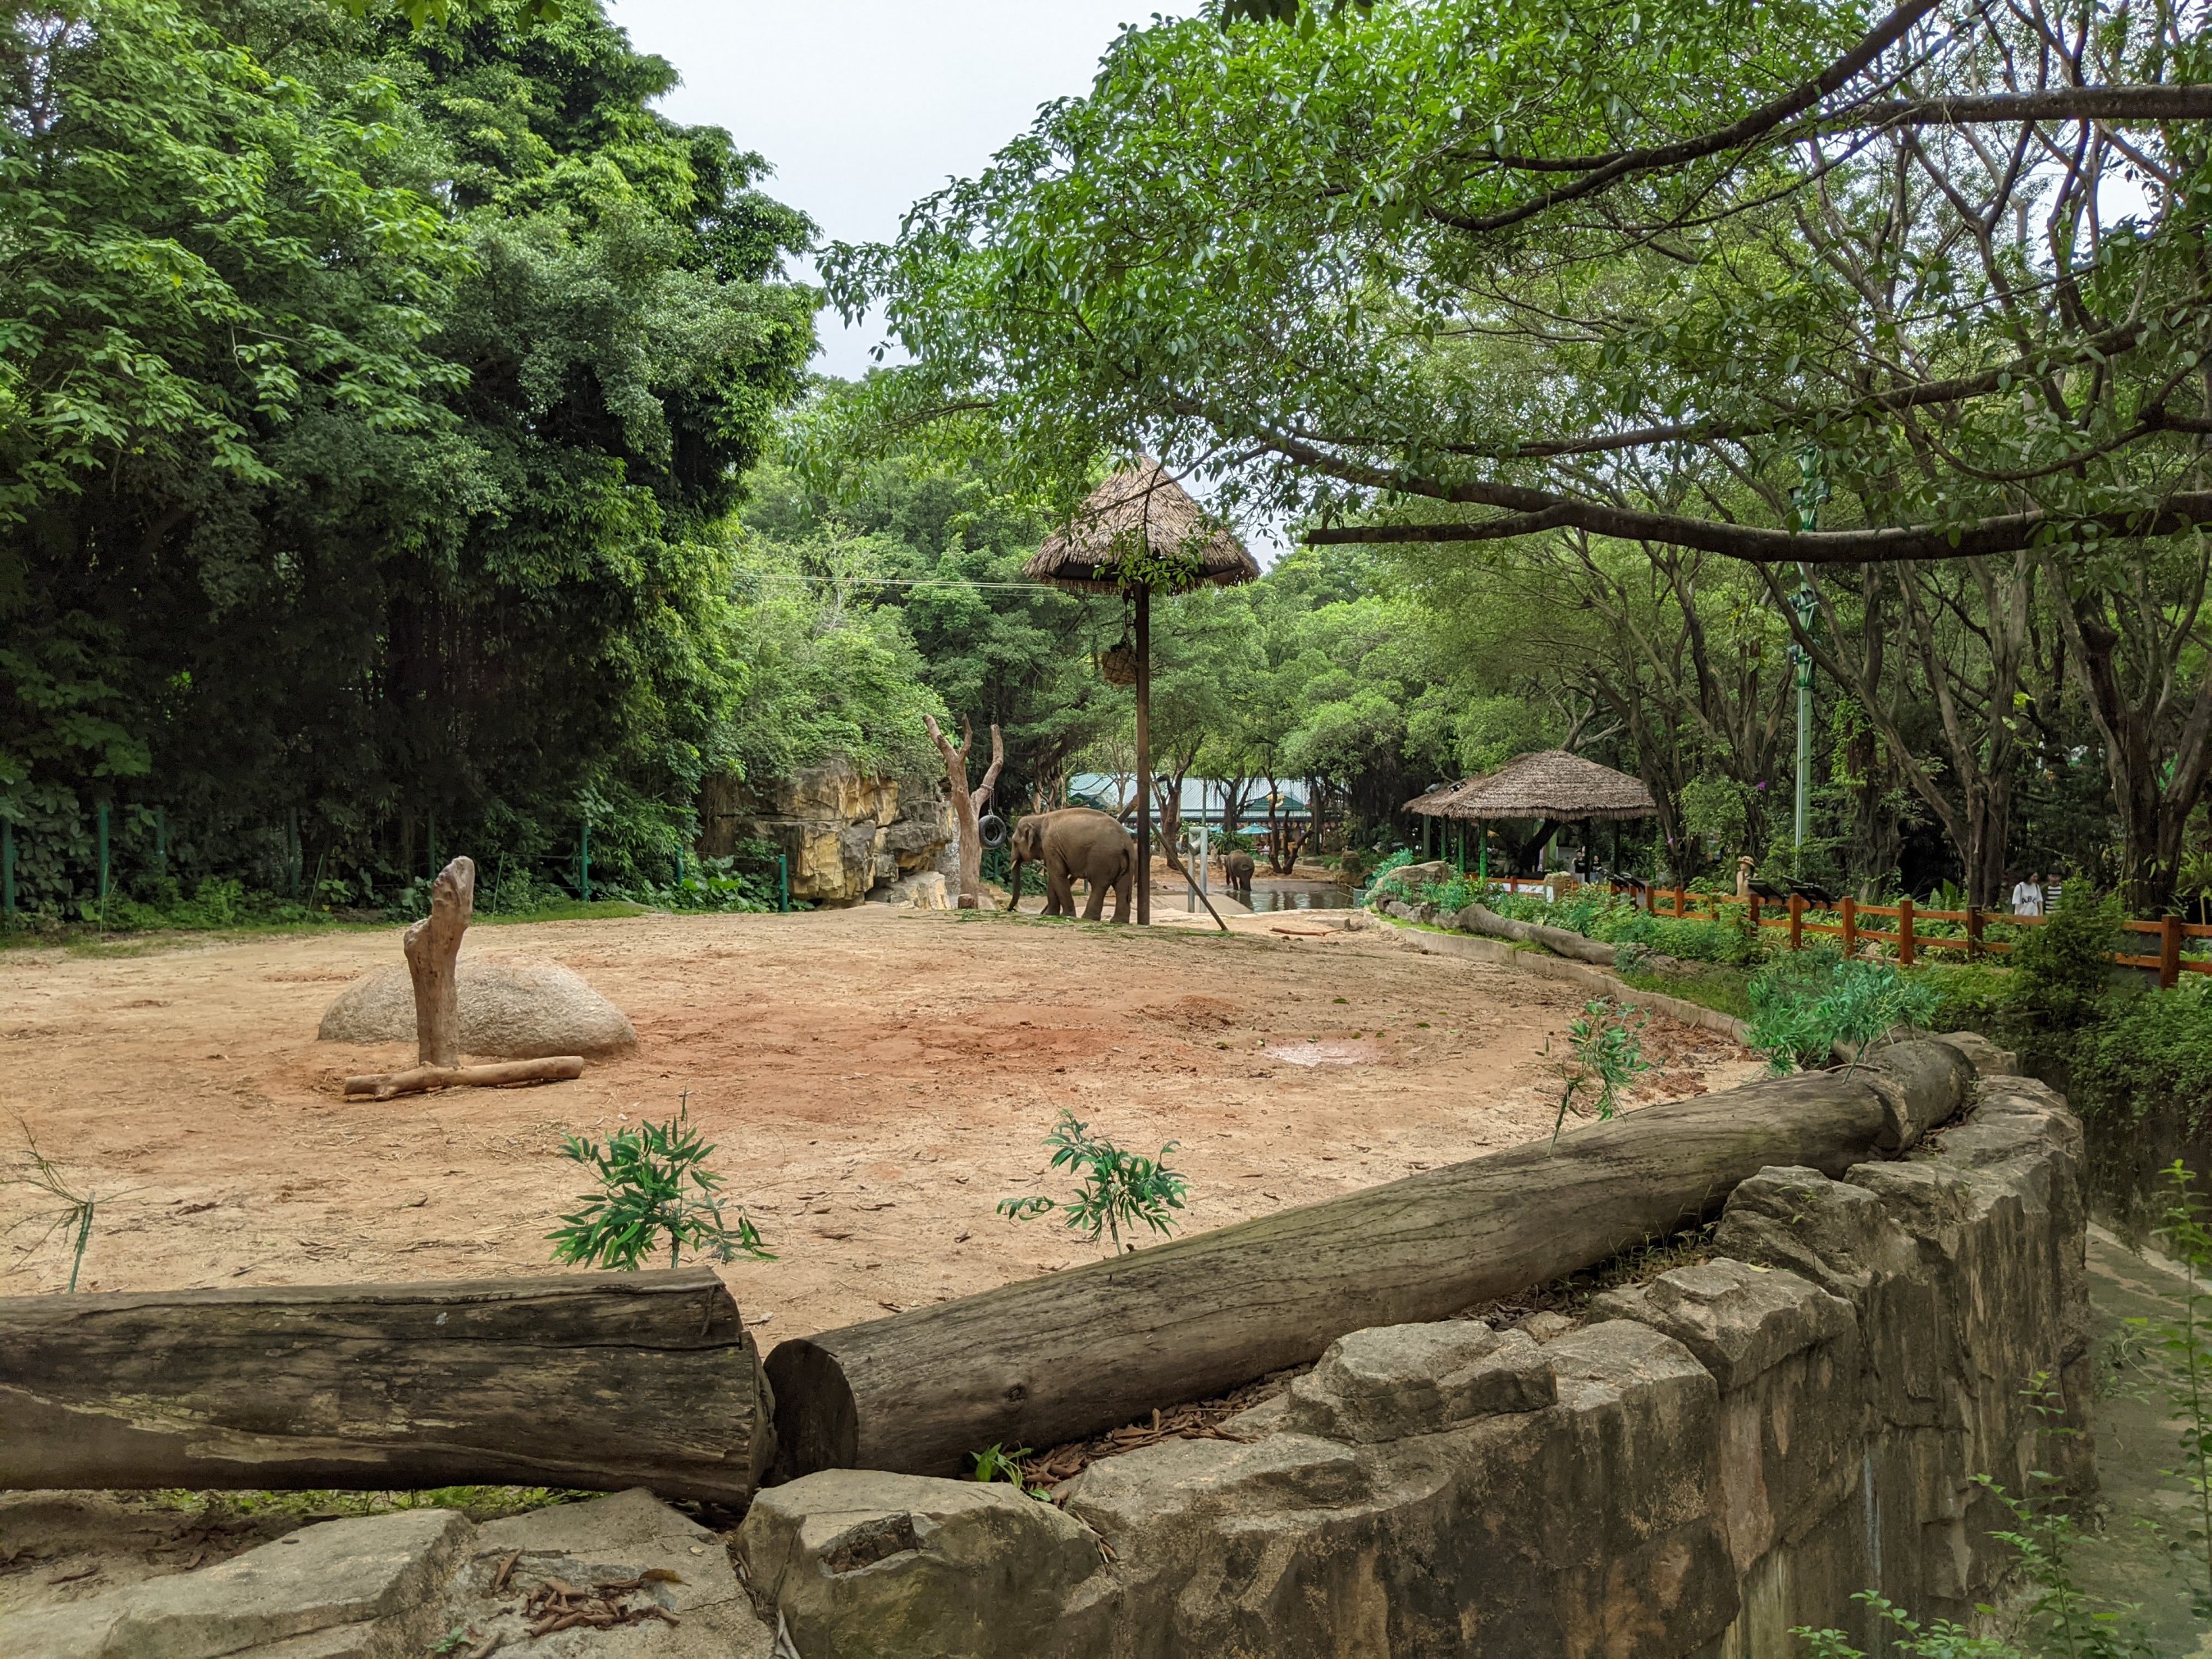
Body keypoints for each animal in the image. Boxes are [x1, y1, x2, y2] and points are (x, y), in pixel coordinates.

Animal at [1005, 808, 1136, 922]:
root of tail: (1126, 840)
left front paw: (1066, 915)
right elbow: (1054, 877)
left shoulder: (1050, 846)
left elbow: (1058, 874)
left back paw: (1088, 918)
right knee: (1122, 887)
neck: (1038, 818)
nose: (1009, 909)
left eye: (1015, 843)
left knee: (1099, 885)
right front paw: (1050, 914)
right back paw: (1118, 921)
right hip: (1122, 862)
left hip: (1102, 858)